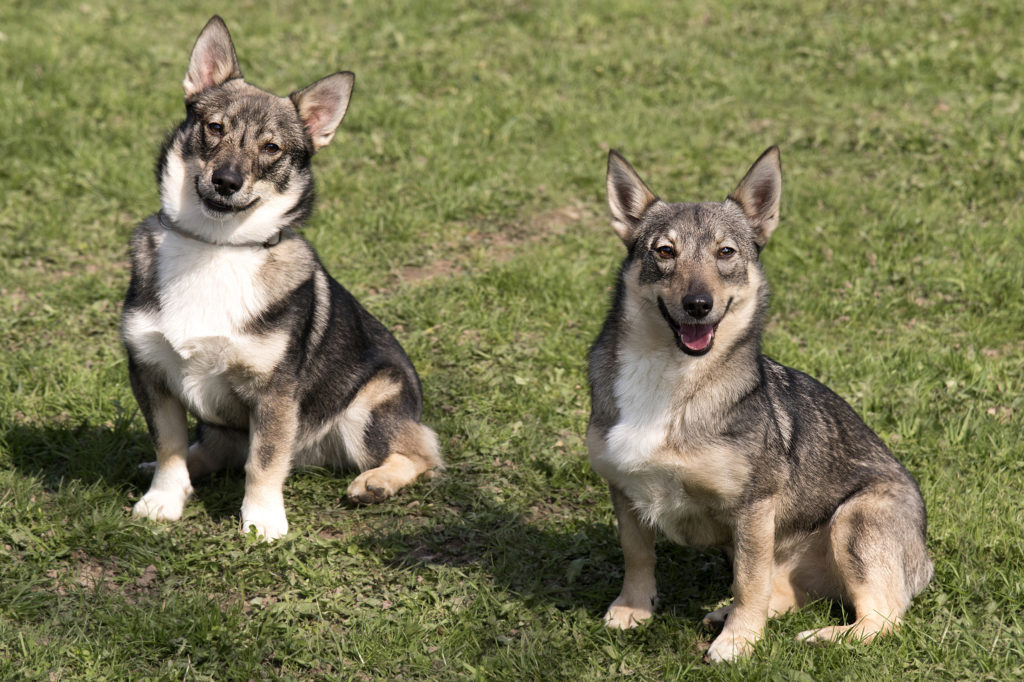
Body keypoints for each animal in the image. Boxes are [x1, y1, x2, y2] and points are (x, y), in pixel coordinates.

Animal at [119, 15, 440, 540]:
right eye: (214, 128)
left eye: (271, 148)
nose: (226, 182)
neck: (217, 245)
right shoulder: (151, 372)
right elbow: (169, 447)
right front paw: (163, 500)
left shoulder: (274, 394)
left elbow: (264, 461)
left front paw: (263, 521)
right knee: (210, 450)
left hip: (369, 405)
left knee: (421, 454)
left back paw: (376, 482)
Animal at [589, 147, 933, 659]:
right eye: (665, 251)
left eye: (726, 252)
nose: (698, 304)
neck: (671, 377)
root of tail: (924, 556)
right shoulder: (624, 487)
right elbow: (637, 553)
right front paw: (633, 608)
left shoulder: (753, 507)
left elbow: (748, 581)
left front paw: (739, 642)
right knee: (788, 593)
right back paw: (729, 613)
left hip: (854, 519)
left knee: (884, 619)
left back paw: (823, 635)